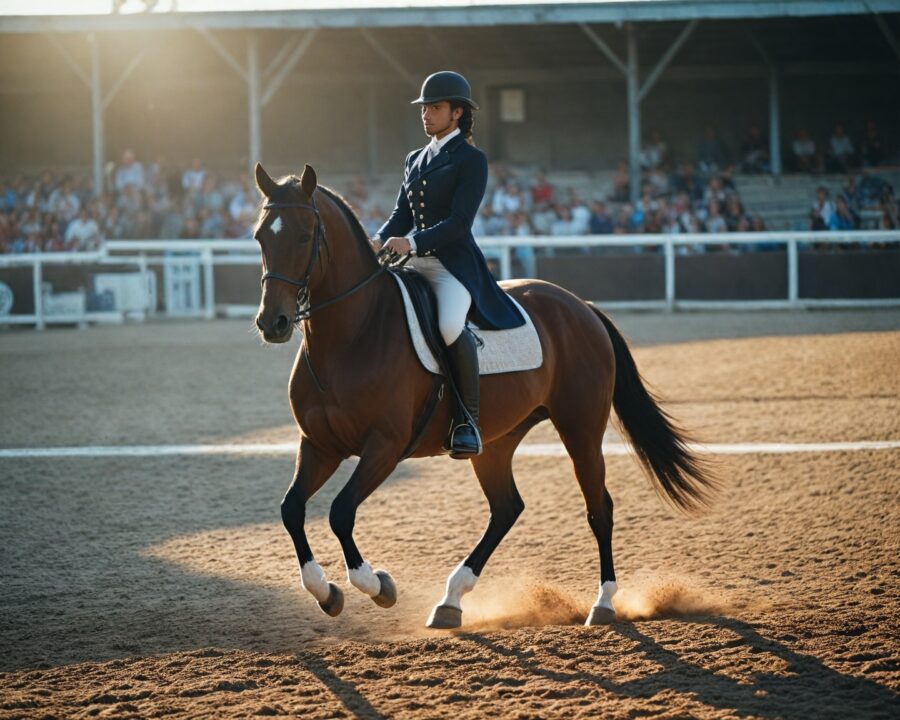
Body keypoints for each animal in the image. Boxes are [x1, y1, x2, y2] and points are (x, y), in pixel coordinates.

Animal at [252, 162, 715, 629]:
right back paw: (451, 600)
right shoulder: (319, 445)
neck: (352, 335)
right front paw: (326, 592)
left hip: (581, 430)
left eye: (304, 236)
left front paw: (378, 585)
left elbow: (341, 511)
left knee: (598, 508)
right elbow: (291, 509)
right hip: (495, 441)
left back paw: (602, 603)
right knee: (506, 507)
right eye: (260, 237)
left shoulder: (384, 445)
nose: (273, 323)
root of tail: (580, 305)